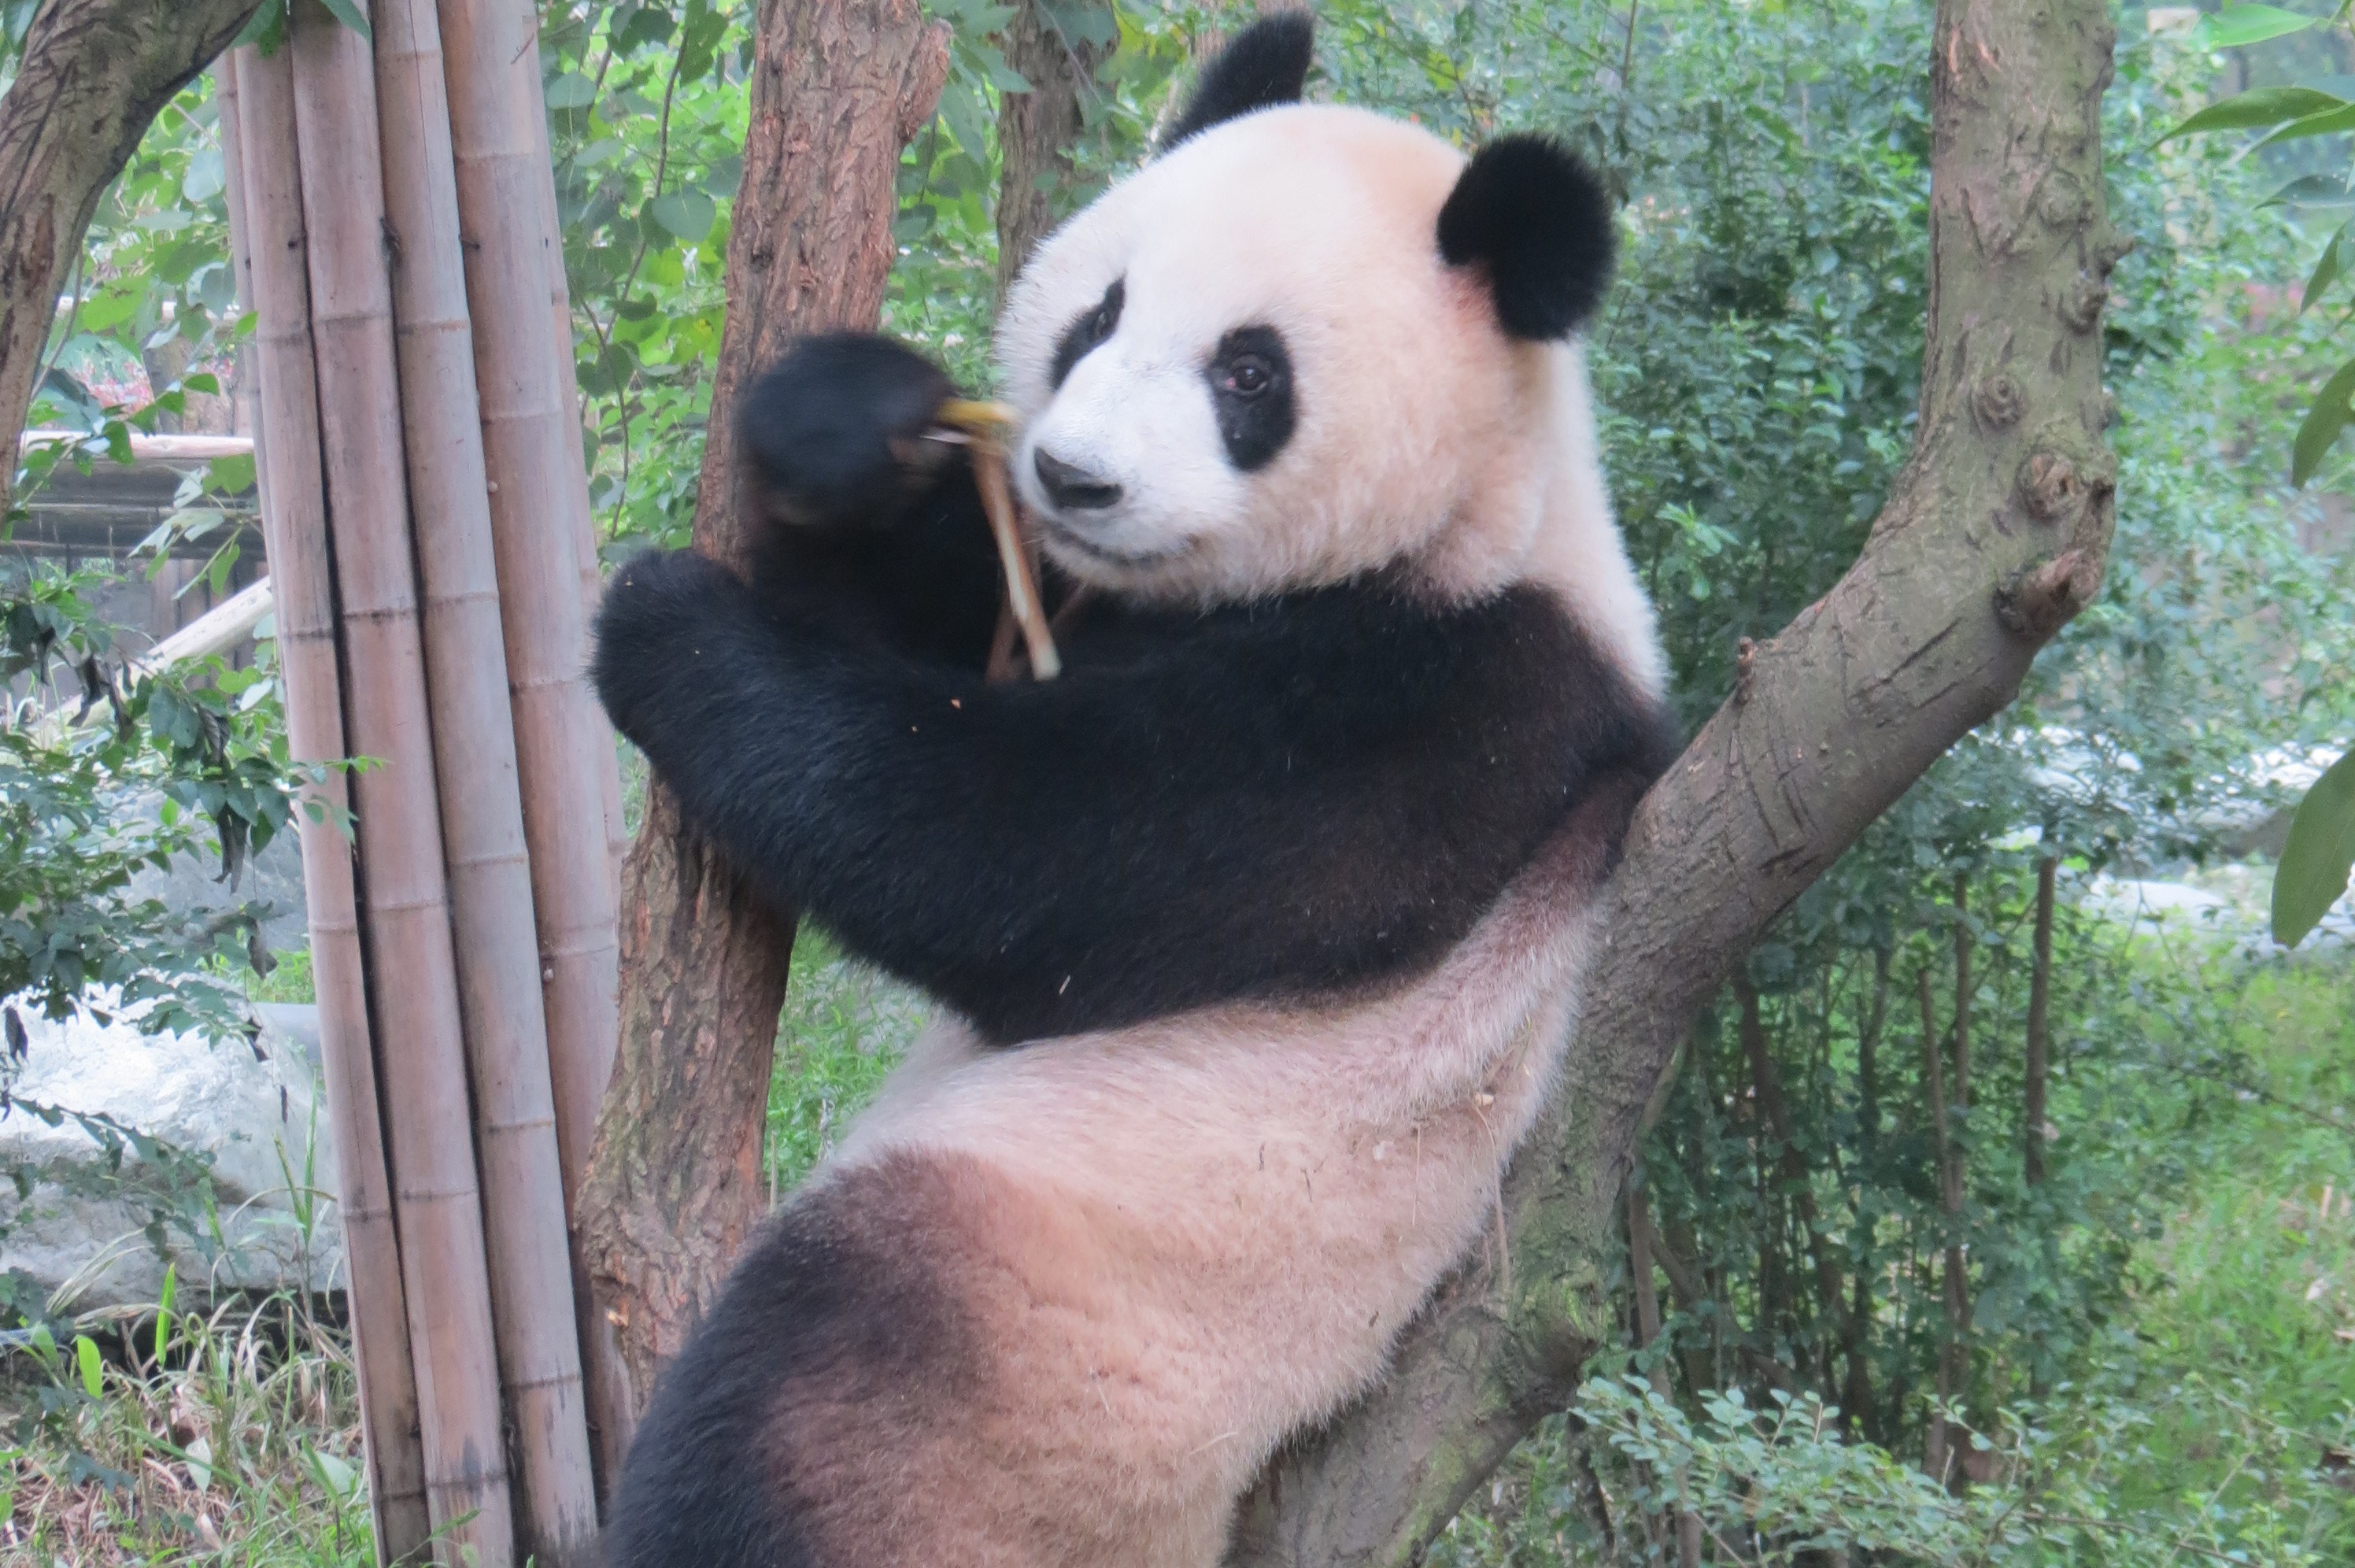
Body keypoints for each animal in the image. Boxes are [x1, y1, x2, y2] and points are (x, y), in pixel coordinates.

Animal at [589, 14, 1675, 1567]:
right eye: (1097, 315)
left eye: (1249, 376)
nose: (1072, 475)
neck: (1486, 512)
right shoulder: (1091, 596)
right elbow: (957, 602)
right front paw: (844, 423)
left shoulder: (1459, 711)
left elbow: (1037, 861)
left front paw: (671, 635)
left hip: (1046, 1351)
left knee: (788, 1404)